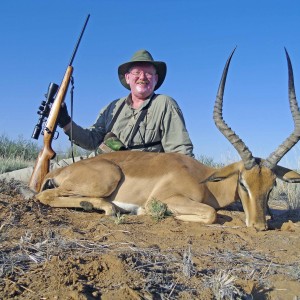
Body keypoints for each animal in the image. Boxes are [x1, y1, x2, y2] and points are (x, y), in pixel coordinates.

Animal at [34, 49, 300, 232]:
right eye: (243, 183)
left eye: (271, 186)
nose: (259, 227)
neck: (204, 180)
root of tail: (59, 171)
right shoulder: (169, 198)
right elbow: (211, 214)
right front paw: (146, 212)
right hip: (107, 178)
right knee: (44, 196)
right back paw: (108, 207)